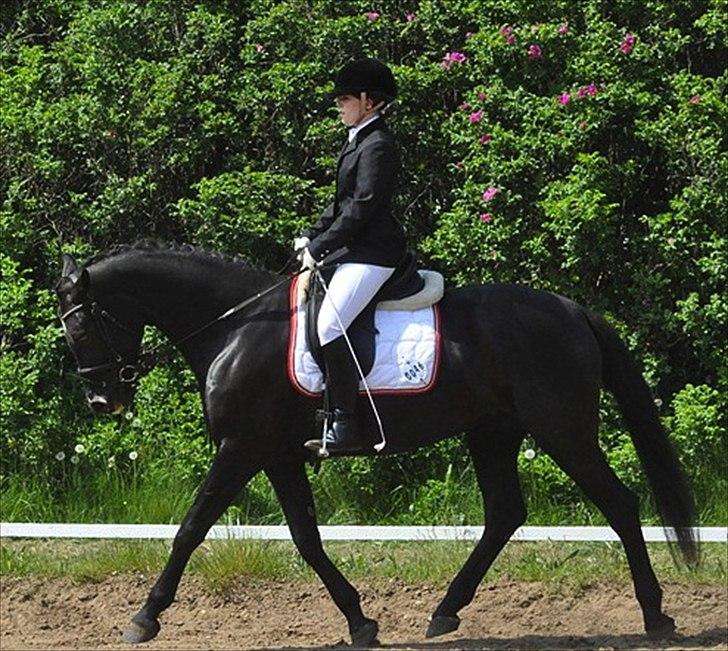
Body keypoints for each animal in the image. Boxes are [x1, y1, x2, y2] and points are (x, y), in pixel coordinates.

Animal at [54, 243, 696, 648]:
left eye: (81, 325)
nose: (102, 402)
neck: (234, 328)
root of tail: (571, 309)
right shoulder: (278, 456)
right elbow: (306, 539)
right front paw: (360, 621)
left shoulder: (241, 449)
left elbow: (190, 529)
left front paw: (144, 617)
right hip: (492, 431)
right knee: (505, 513)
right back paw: (445, 611)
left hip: (562, 428)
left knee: (619, 505)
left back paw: (655, 616)